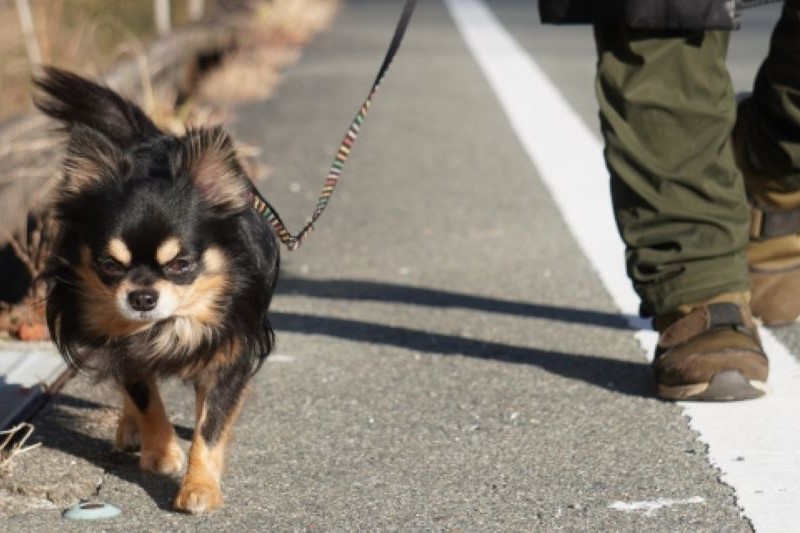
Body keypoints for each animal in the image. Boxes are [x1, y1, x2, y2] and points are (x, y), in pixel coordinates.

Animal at [35, 66, 282, 512]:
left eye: (181, 265)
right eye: (110, 265)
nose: (142, 297)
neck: (169, 324)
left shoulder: (229, 352)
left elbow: (210, 425)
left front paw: (200, 485)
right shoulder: (122, 346)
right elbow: (144, 398)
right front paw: (162, 452)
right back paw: (130, 431)